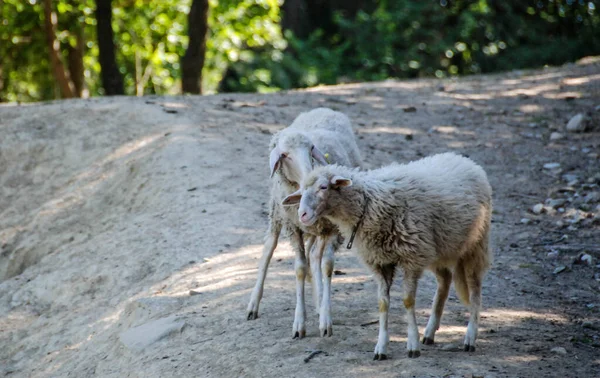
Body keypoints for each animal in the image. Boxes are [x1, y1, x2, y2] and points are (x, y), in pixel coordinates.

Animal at [247, 108, 364, 338]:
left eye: (311, 148)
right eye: (284, 155)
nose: (311, 177)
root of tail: (323, 109)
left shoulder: (332, 228)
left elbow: (327, 265)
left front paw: (325, 319)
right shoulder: (293, 228)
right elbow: (300, 268)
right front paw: (299, 323)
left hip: (317, 228)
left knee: (315, 256)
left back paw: (319, 301)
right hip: (276, 215)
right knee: (268, 250)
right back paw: (253, 304)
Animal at [284, 152, 494, 358]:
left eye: (323, 187)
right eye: (301, 192)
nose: (302, 215)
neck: (369, 204)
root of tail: (464, 159)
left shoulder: (412, 258)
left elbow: (408, 301)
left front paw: (412, 345)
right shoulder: (380, 261)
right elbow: (383, 304)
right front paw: (381, 347)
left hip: (475, 244)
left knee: (475, 288)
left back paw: (470, 337)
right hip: (439, 248)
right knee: (445, 281)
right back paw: (429, 332)